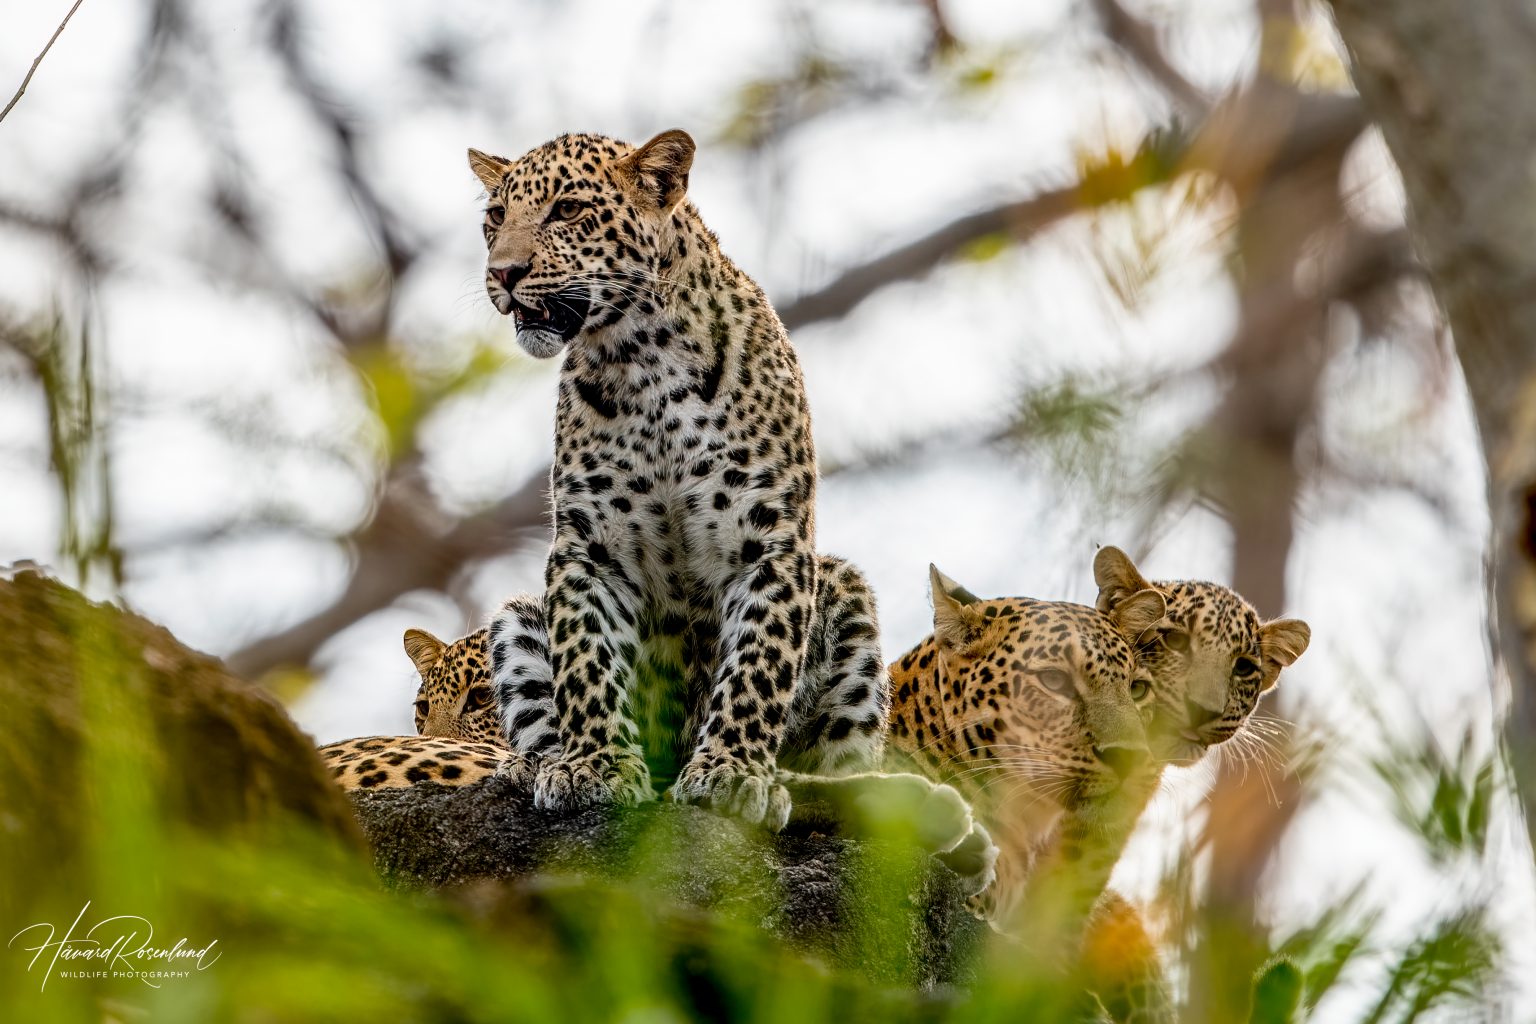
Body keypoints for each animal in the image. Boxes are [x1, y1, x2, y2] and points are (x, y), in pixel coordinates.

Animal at [464, 128, 883, 830]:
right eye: (495, 218)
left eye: (567, 210)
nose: (503, 273)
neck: (642, 358)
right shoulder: (589, 548)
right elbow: (585, 661)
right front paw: (593, 766)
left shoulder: (771, 541)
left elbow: (757, 664)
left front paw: (732, 771)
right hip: (516, 623)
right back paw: (530, 766)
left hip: (848, 602)